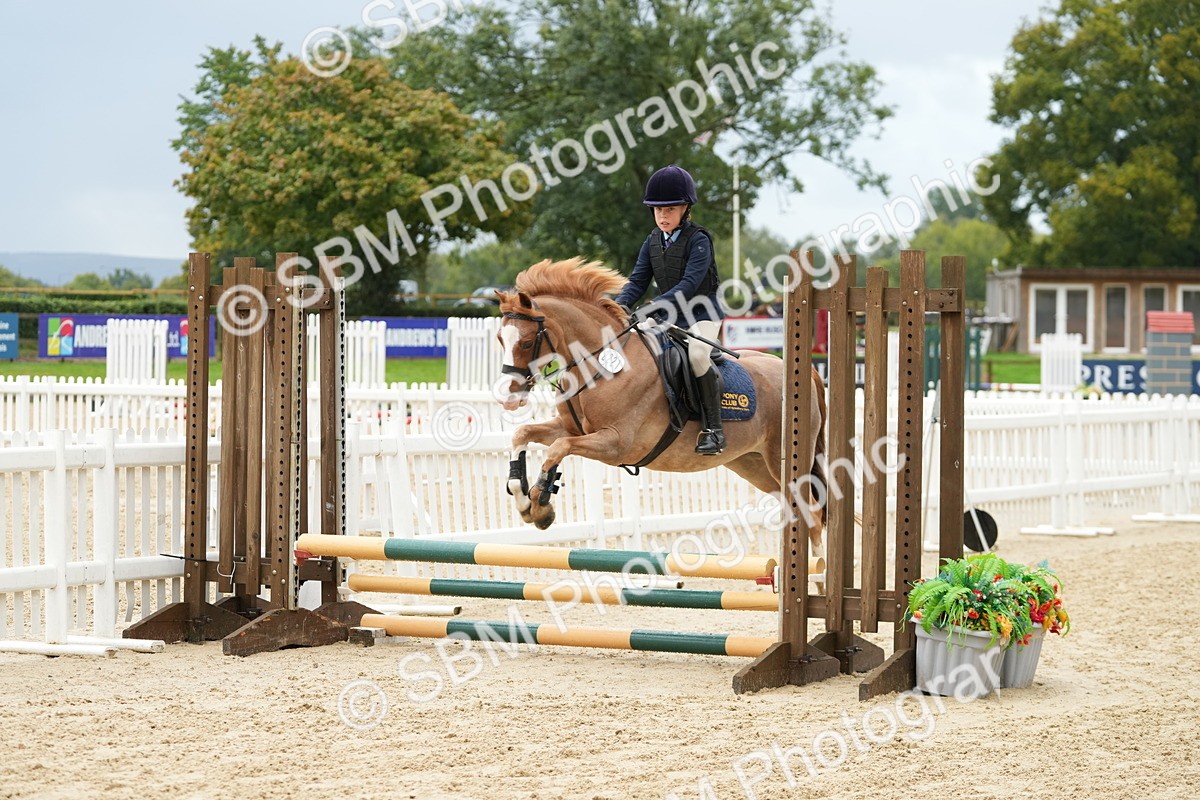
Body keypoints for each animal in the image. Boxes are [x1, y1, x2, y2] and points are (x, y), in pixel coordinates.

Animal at [495, 257, 828, 557]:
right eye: (500, 338)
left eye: (527, 342)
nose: (507, 397)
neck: (600, 362)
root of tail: (805, 371)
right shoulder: (571, 428)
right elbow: (523, 435)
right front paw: (526, 500)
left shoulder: (615, 443)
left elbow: (558, 448)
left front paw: (540, 500)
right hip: (752, 463)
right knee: (795, 510)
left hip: (781, 459)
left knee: (812, 514)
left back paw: (818, 572)